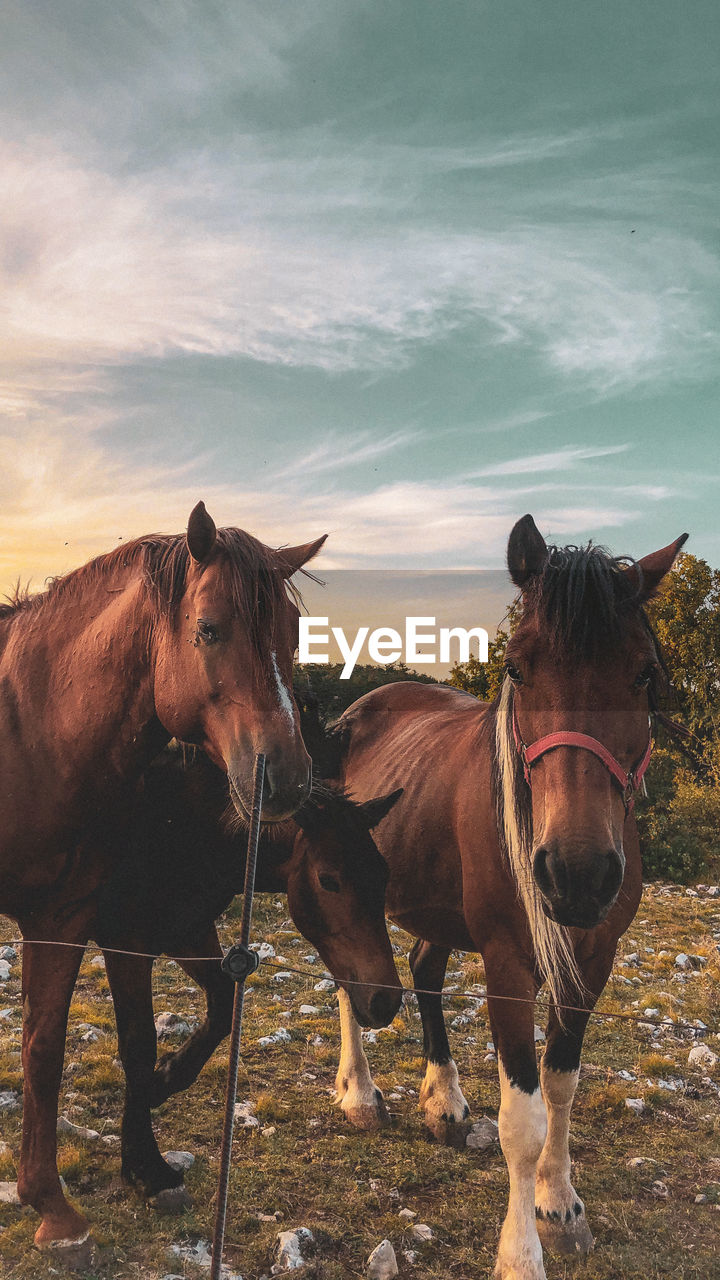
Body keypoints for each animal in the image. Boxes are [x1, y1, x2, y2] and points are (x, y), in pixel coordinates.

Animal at [0, 499, 325, 1259]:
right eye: (209, 629)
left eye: (294, 636)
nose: (288, 781)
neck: (33, 734)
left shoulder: (69, 918)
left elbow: (52, 1046)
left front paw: (65, 1196)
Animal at [325, 517, 681, 1280]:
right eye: (517, 667)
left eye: (643, 672)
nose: (576, 872)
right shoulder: (509, 966)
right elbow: (524, 1121)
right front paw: (521, 1251)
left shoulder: (592, 961)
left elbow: (561, 1086)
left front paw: (560, 1204)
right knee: (347, 978)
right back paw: (361, 1094)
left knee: (426, 971)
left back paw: (445, 1098)